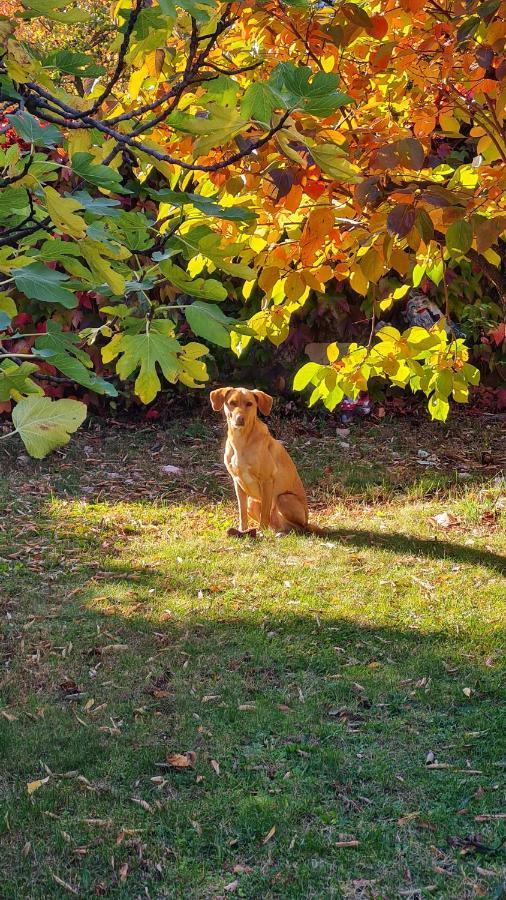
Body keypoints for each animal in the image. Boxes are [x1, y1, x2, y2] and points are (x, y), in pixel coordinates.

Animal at [209, 386, 310, 536]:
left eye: (249, 404)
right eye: (232, 403)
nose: (240, 419)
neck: (241, 442)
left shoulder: (267, 481)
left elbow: (264, 514)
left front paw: (261, 532)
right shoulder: (238, 483)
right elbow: (242, 513)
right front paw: (242, 530)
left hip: (284, 498)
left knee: (297, 528)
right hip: (252, 502)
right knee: (277, 525)